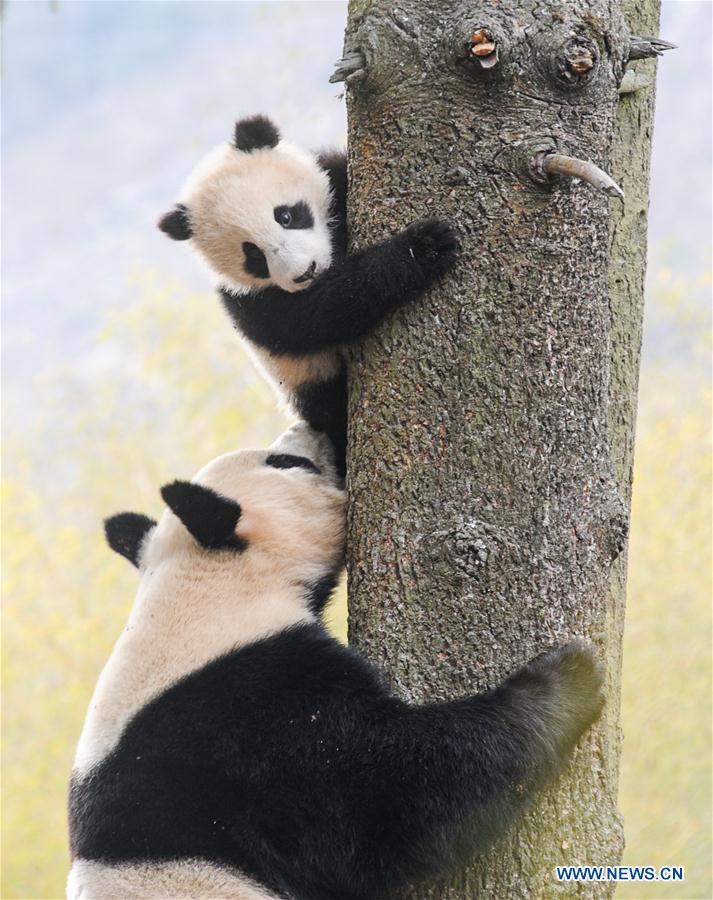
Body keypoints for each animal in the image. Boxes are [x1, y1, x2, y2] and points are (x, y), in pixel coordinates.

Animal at [68, 422, 604, 900]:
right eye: (286, 463)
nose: (311, 429)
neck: (202, 590)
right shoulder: (248, 721)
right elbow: (392, 793)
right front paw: (570, 677)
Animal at [158, 115, 461, 475]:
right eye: (252, 255)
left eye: (286, 215)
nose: (305, 272)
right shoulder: (247, 303)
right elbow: (320, 313)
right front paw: (423, 248)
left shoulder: (335, 177)